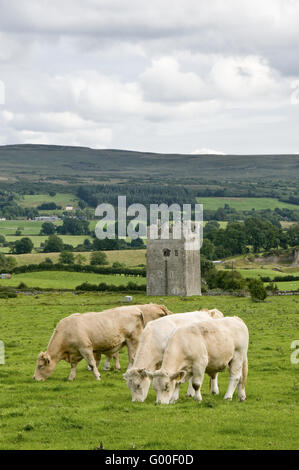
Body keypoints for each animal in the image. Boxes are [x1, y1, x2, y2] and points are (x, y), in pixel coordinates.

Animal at [33, 302, 170, 380]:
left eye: (40, 366)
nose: (34, 378)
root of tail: (137, 309)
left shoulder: (86, 348)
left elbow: (92, 363)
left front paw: (97, 376)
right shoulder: (75, 352)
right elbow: (74, 365)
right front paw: (71, 377)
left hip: (133, 341)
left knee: (132, 358)